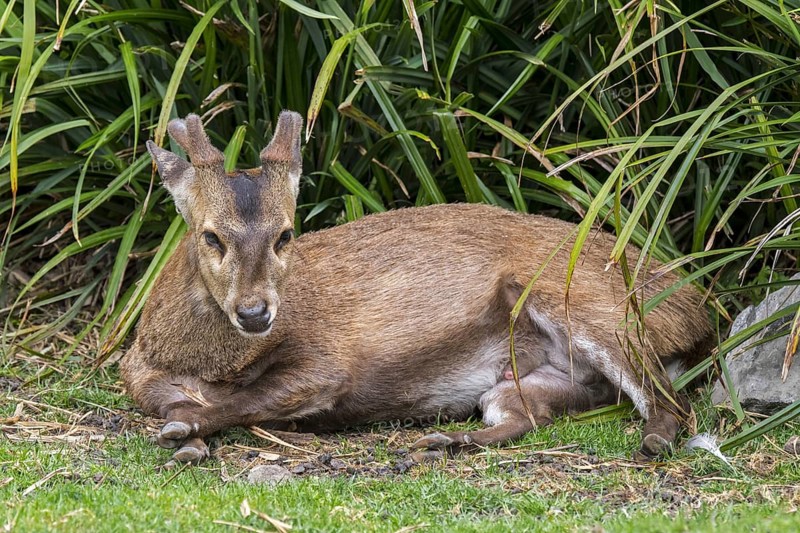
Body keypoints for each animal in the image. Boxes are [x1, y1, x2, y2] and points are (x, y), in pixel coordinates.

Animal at [120, 111, 714, 464]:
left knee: (671, 399)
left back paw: (654, 441)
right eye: (211, 235)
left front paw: (185, 433)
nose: (254, 313)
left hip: (595, 308)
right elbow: (167, 399)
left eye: (286, 233)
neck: (201, 361)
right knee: (524, 416)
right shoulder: (137, 372)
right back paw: (446, 439)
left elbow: (245, 400)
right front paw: (188, 436)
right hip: (534, 380)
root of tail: (702, 308)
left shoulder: (326, 362)